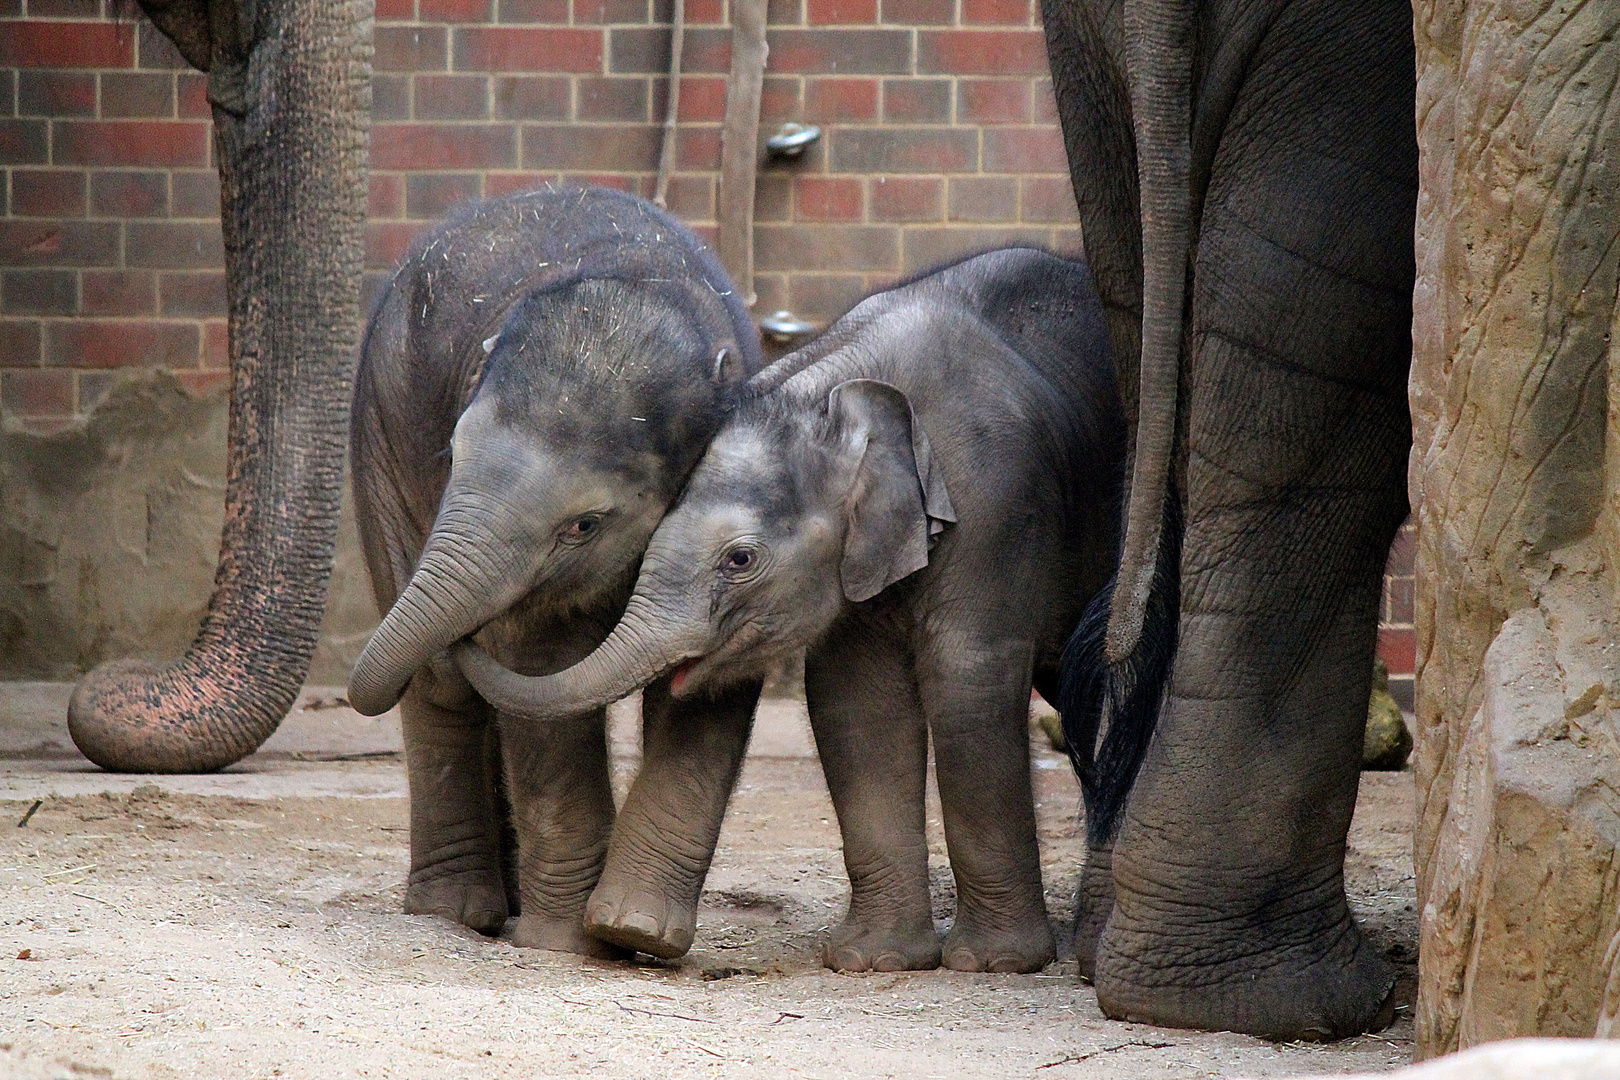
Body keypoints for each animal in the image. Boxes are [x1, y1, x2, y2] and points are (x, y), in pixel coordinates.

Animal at [453, 249, 1127, 977]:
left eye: (740, 560)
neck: (837, 394)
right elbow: (855, 700)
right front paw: (871, 961)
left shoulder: (997, 503)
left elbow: (967, 680)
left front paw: (993, 964)